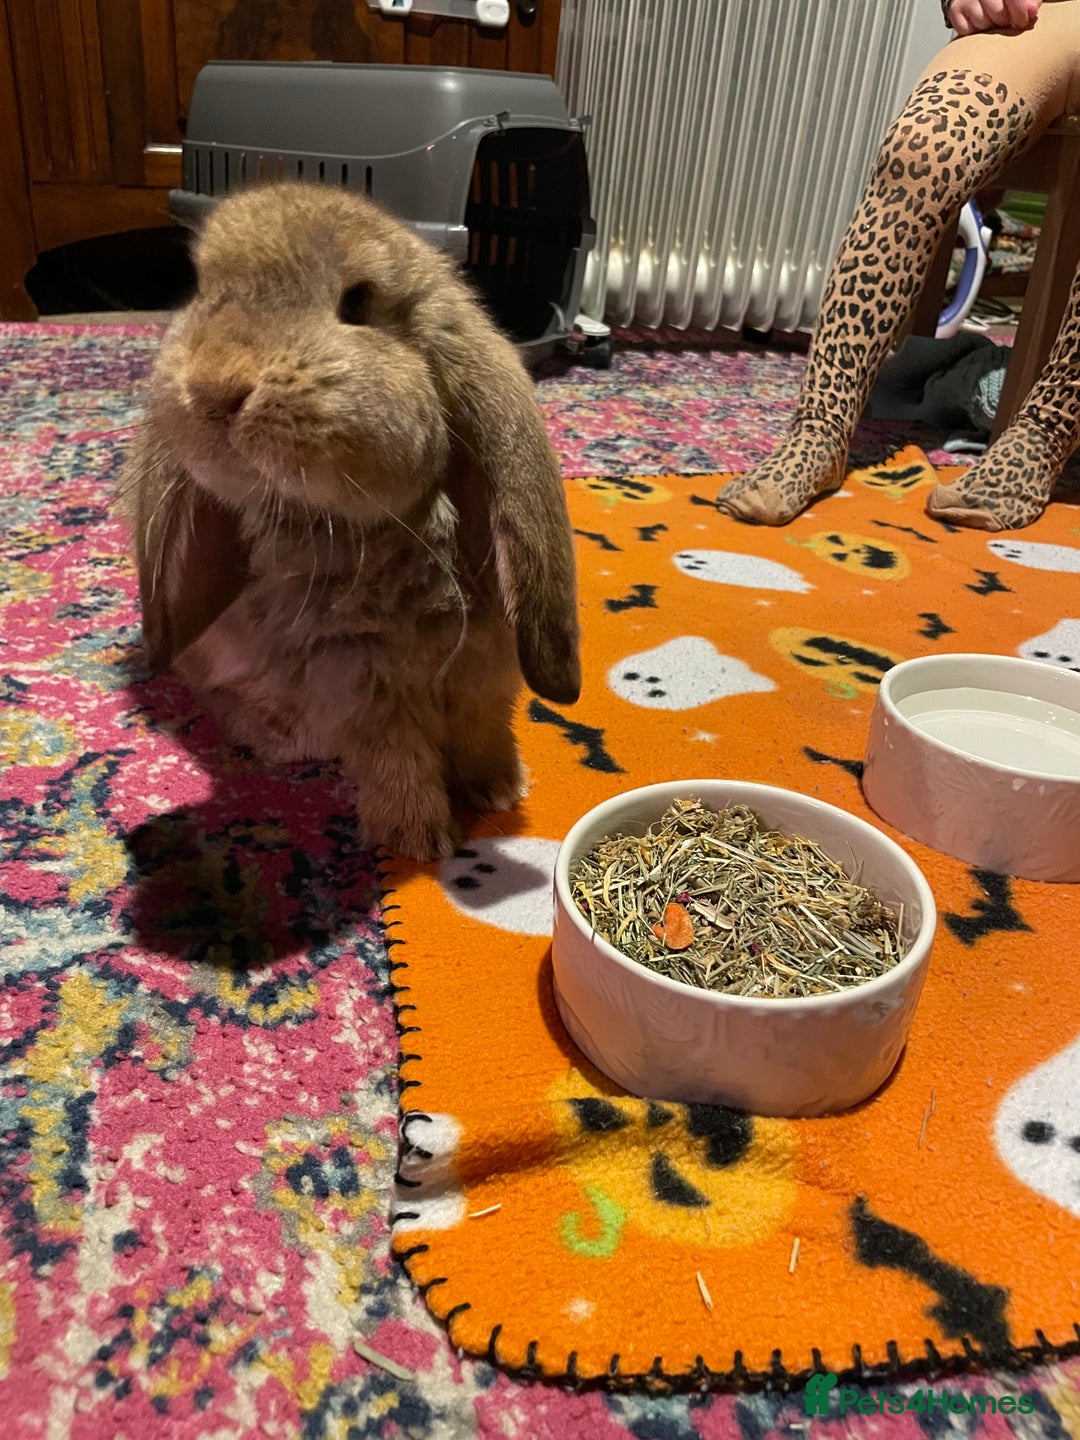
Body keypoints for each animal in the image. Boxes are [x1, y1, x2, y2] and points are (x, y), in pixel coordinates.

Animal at [117, 181, 581, 863]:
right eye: (202, 291)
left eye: (358, 301)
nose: (213, 387)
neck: (385, 529)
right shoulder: (360, 685)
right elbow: (397, 759)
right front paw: (421, 841)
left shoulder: (487, 668)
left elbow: (484, 727)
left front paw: (500, 790)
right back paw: (277, 737)